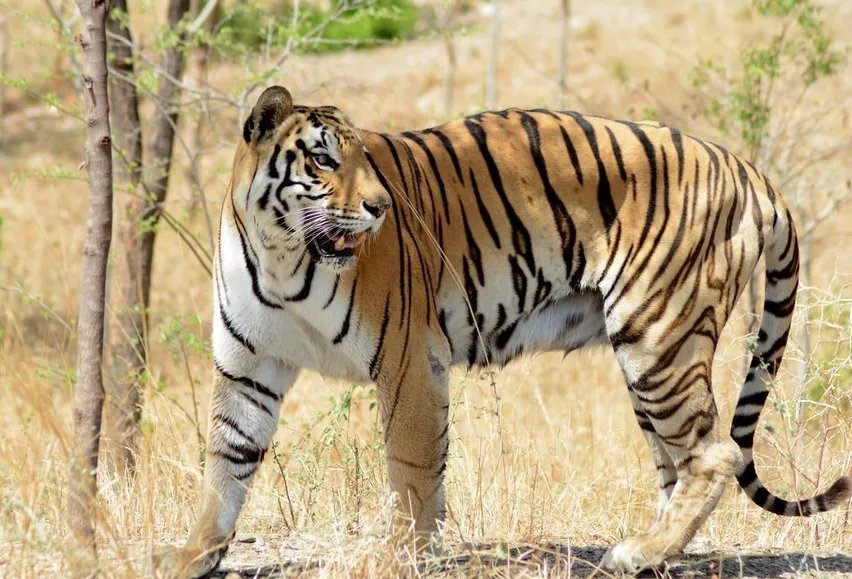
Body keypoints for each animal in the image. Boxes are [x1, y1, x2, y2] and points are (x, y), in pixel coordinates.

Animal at [155, 85, 851, 577]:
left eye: (365, 161)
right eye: (324, 158)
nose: (380, 207)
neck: (282, 253)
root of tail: (743, 165)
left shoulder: (407, 361)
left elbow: (411, 468)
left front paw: (400, 556)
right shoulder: (248, 364)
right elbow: (227, 461)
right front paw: (194, 555)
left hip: (658, 334)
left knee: (716, 452)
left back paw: (639, 552)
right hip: (656, 360)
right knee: (678, 460)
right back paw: (659, 551)